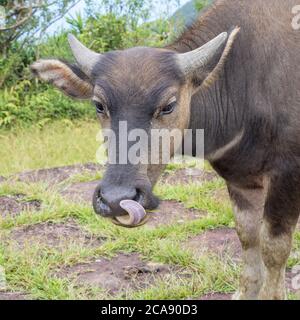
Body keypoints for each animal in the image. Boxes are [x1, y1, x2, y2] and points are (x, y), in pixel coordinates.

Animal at [31, 0, 300, 300]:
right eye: (99, 105)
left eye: (168, 105)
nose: (115, 200)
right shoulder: (241, 180)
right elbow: (247, 236)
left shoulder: (288, 175)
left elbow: (274, 248)